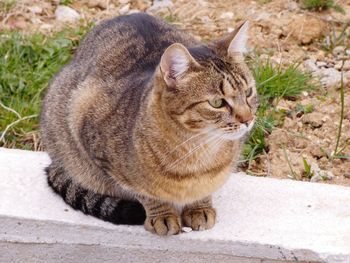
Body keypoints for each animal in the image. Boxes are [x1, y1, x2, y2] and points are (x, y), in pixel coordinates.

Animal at [41, 12, 258, 236]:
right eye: (217, 103)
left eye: (248, 92)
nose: (248, 118)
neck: (197, 153)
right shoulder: (87, 126)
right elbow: (145, 192)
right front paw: (162, 214)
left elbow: (204, 191)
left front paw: (199, 207)